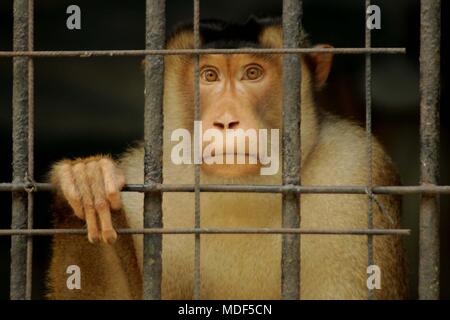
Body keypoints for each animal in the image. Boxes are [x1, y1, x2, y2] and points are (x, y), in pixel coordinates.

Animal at [45, 17, 408, 300]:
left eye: (252, 73)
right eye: (209, 75)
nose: (226, 121)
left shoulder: (356, 173)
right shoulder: (141, 187)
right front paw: (85, 183)